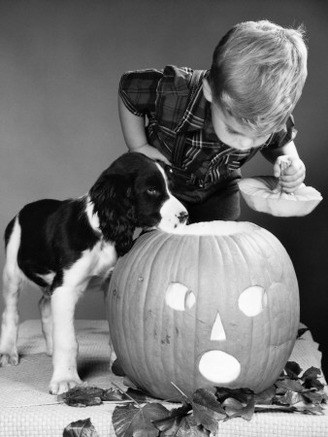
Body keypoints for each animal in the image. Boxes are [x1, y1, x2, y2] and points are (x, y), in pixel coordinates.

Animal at [0, 152, 187, 394]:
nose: (185, 215)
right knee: (11, 313)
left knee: (44, 304)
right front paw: (65, 379)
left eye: (171, 187)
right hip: (12, 271)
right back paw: (8, 352)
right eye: (152, 190)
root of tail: (23, 210)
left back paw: (50, 348)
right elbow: (67, 341)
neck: (102, 232)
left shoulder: (110, 284)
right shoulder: (66, 288)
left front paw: (118, 364)